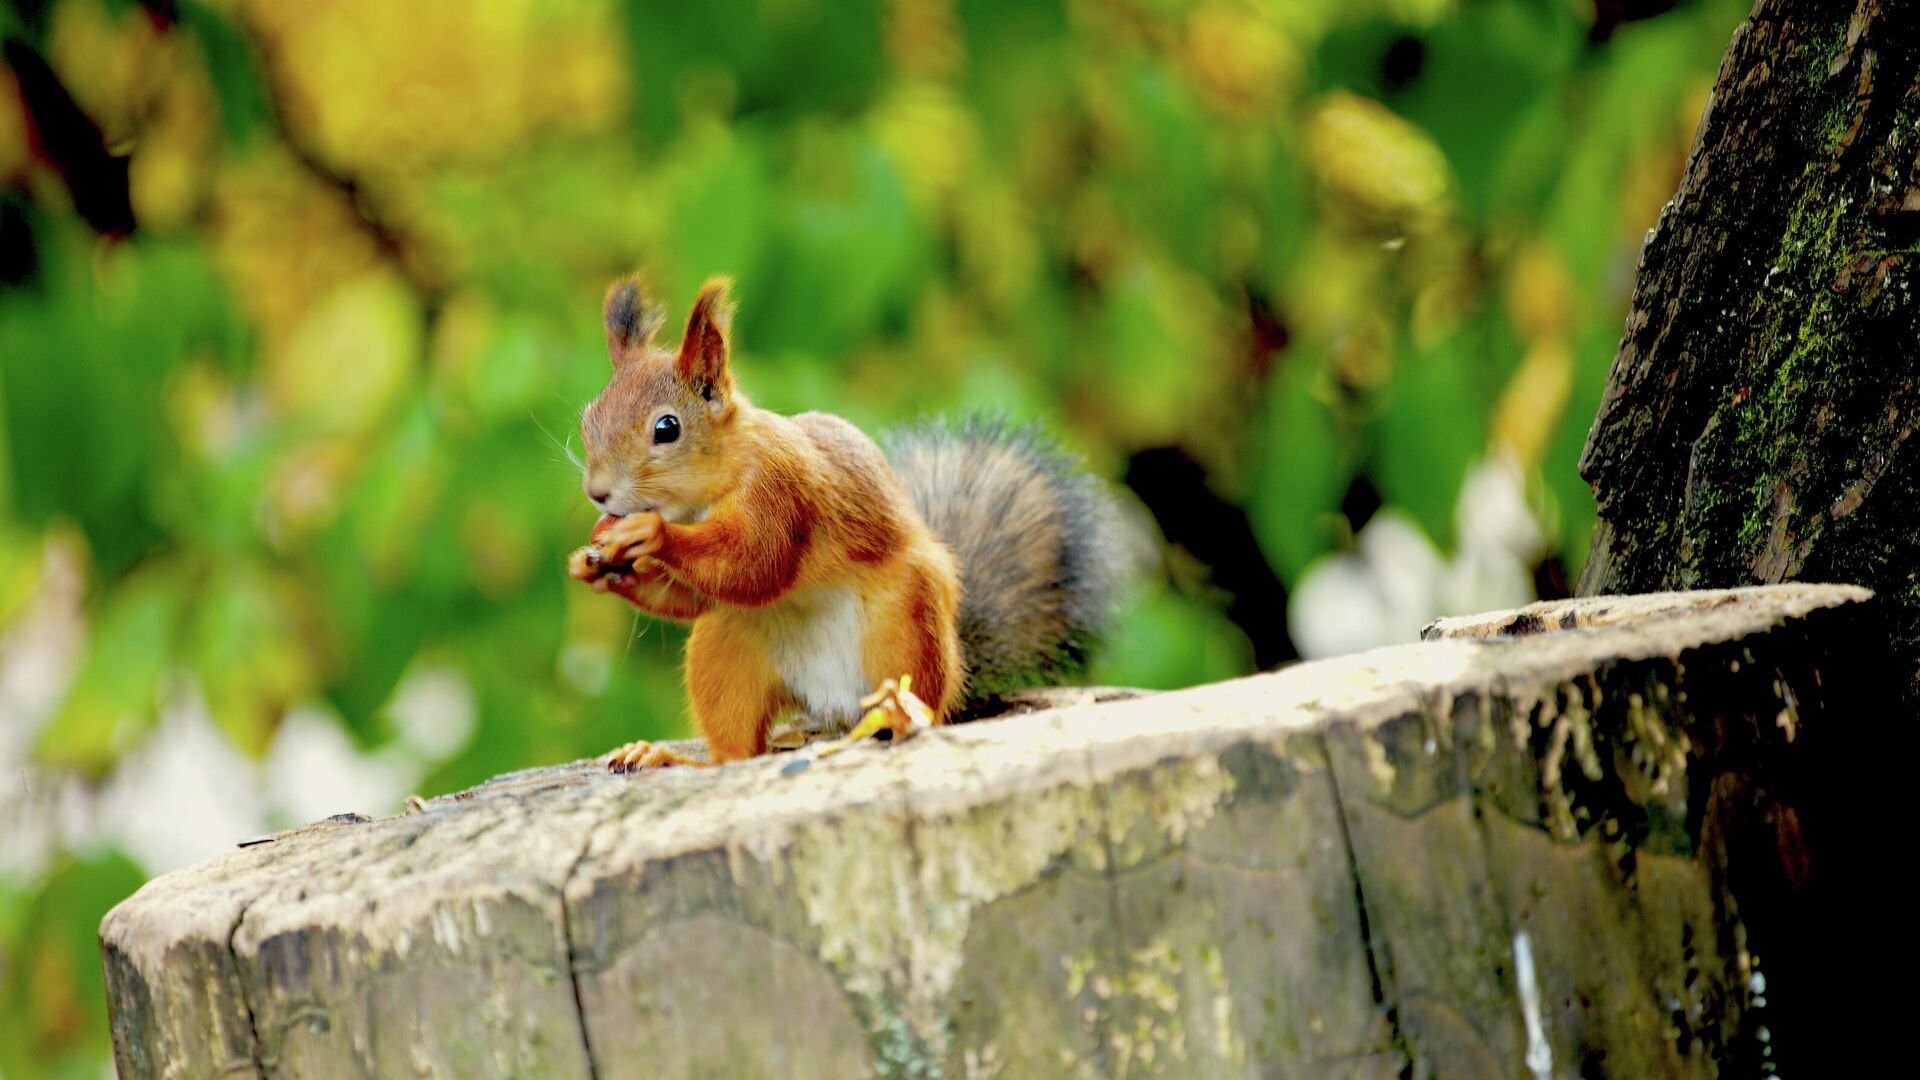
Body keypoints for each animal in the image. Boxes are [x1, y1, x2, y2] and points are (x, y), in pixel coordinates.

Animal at [560, 272, 1128, 768]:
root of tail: (836, 709)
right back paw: (669, 758)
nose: (597, 493)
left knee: (919, 703)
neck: (714, 484)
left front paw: (649, 533)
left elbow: (753, 564)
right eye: (587, 419)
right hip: (728, 647)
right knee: (738, 749)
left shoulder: (780, 492)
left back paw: (900, 718)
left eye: (667, 428)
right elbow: (697, 596)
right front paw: (595, 566)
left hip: (906, 626)